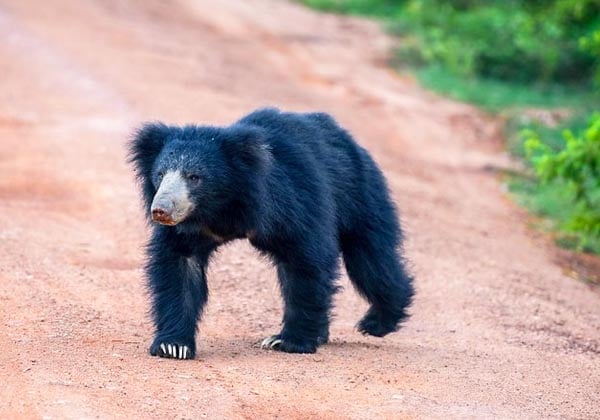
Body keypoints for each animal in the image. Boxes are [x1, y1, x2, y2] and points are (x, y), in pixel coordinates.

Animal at [130, 106, 412, 360]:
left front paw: (287, 341)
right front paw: (173, 346)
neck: (222, 208)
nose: (161, 210)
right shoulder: (188, 229)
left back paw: (377, 322)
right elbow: (179, 268)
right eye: (160, 174)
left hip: (360, 194)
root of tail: (351, 142)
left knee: (371, 261)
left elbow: (305, 261)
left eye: (194, 177)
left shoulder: (291, 201)